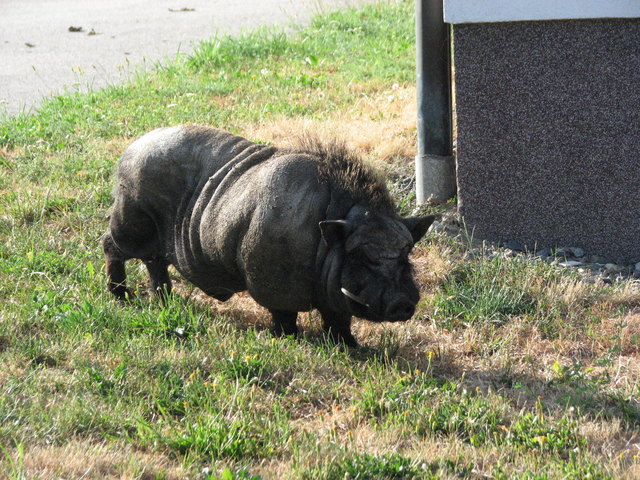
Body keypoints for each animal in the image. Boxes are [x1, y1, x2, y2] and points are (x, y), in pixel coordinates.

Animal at [104, 125, 436, 346]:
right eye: (361, 256)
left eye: (406, 253)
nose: (401, 302)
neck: (321, 239)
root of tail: (129, 152)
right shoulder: (272, 281)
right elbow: (284, 315)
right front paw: (286, 338)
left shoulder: (333, 297)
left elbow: (338, 320)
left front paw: (351, 347)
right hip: (130, 223)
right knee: (111, 245)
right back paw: (120, 295)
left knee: (155, 262)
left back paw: (164, 299)